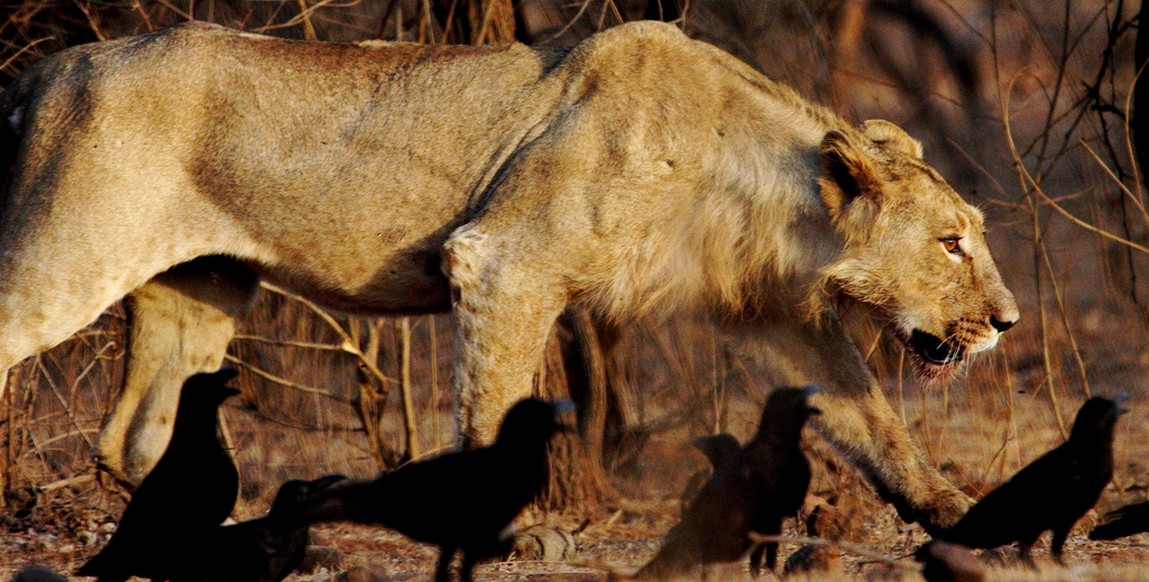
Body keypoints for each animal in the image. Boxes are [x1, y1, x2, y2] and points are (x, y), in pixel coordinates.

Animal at [0, 21, 1020, 532]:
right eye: (951, 244)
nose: (1007, 322)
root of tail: (54, 64)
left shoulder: (778, 311)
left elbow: (869, 414)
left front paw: (951, 510)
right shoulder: (503, 258)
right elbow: (490, 409)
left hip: (203, 286)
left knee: (130, 439)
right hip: (70, 252)